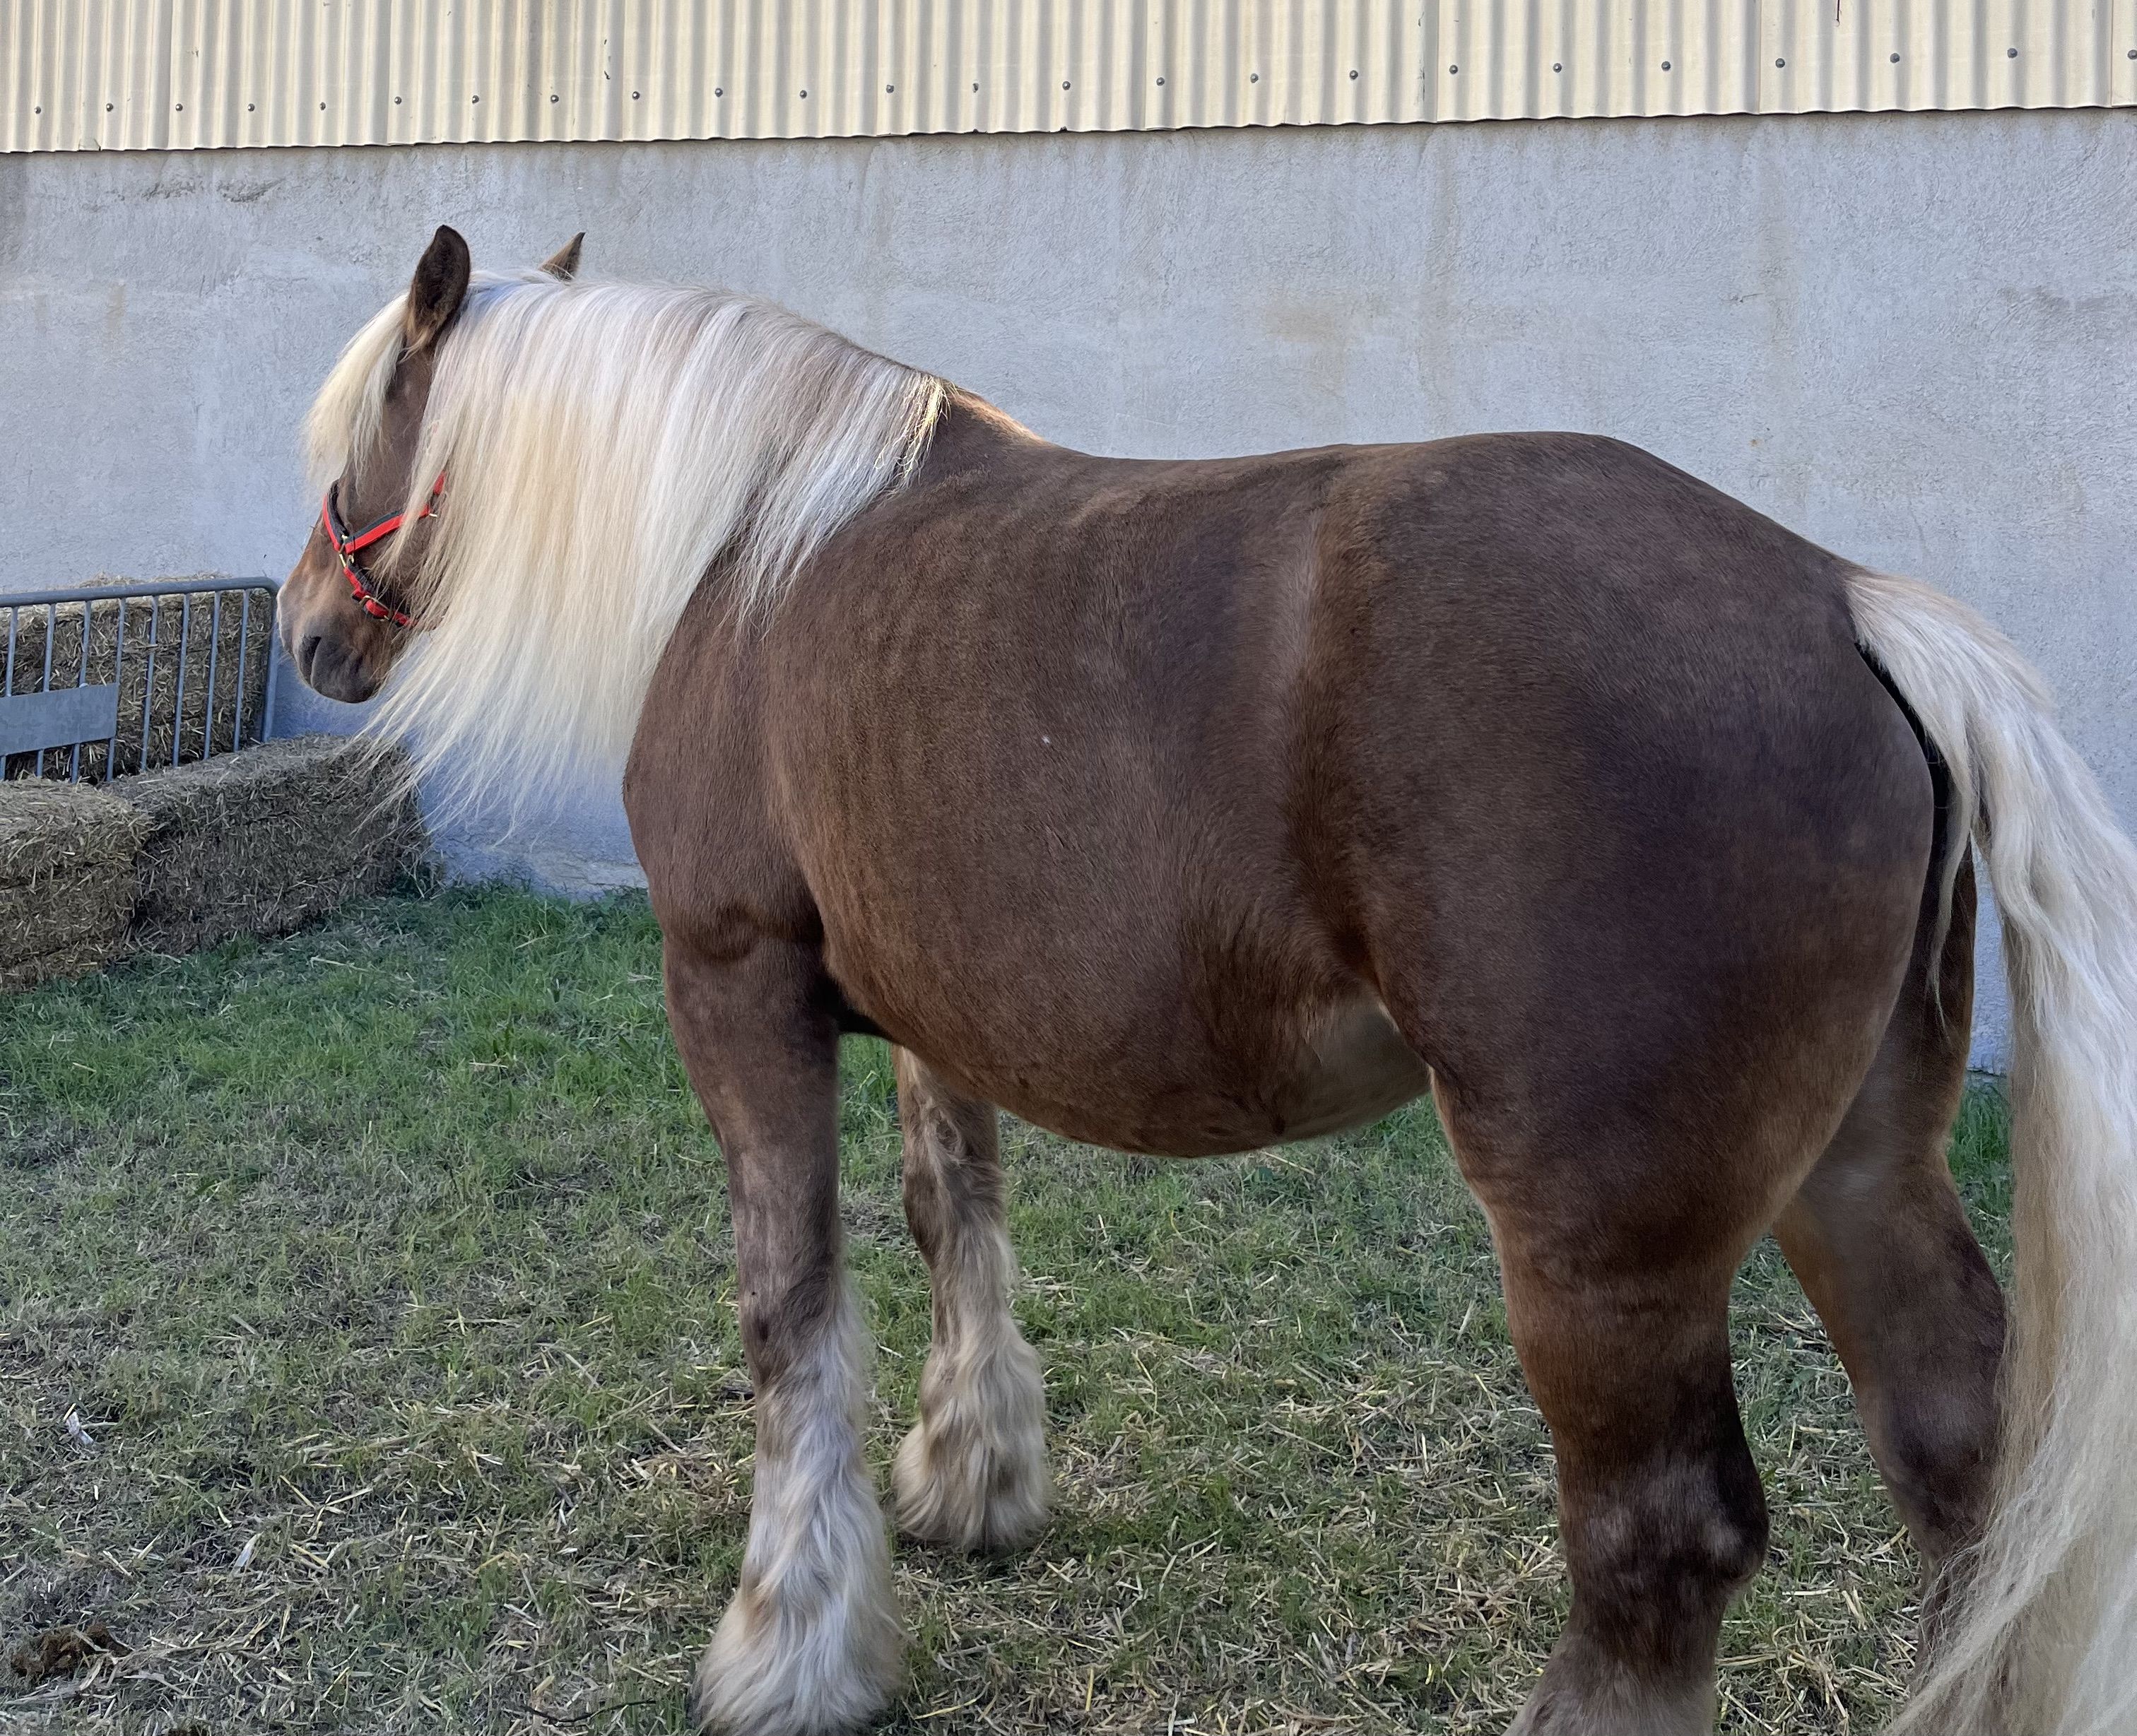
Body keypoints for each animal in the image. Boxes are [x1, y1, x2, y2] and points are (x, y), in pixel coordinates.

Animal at [280, 230, 2137, 1736]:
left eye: (361, 428)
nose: (307, 631)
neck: (754, 552)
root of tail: (1843, 604)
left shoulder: (737, 989)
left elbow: (789, 1308)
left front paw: (791, 1647)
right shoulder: (932, 1013)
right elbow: (951, 1217)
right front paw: (971, 1480)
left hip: (1607, 1246)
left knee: (1659, 1545)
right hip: (1858, 1167)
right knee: (1958, 1464)